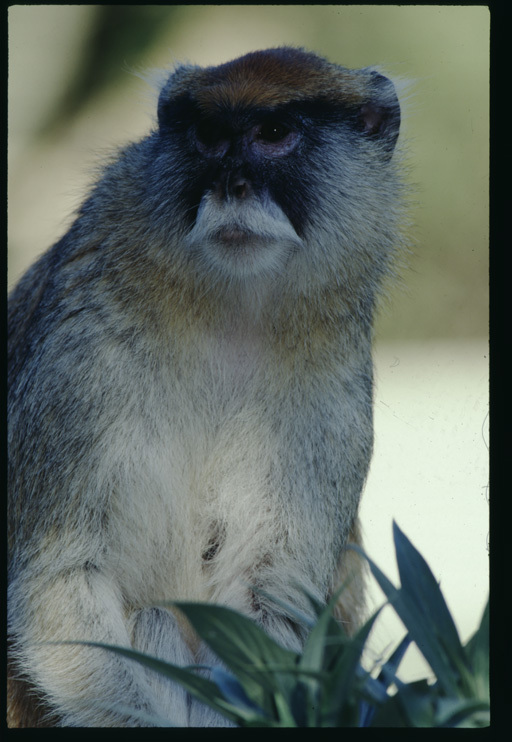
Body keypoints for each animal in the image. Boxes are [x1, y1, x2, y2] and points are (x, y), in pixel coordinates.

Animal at [7, 46, 404, 728]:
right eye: (210, 137)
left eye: (273, 133)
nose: (231, 187)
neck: (228, 307)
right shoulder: (80, 349)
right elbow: (60, 583)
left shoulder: (332, 382)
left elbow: (269, 598)